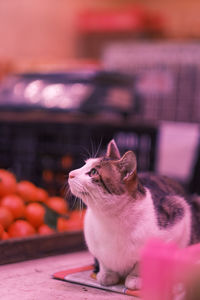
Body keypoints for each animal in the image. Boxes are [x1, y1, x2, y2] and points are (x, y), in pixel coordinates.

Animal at [68, 140, 200, 290]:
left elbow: (143, 260)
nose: (70, 173)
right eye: (84, 164)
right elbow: (103, 259)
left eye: (93, 172)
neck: (109, 219)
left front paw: (135, 278)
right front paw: (107, 273)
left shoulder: (179, 210)